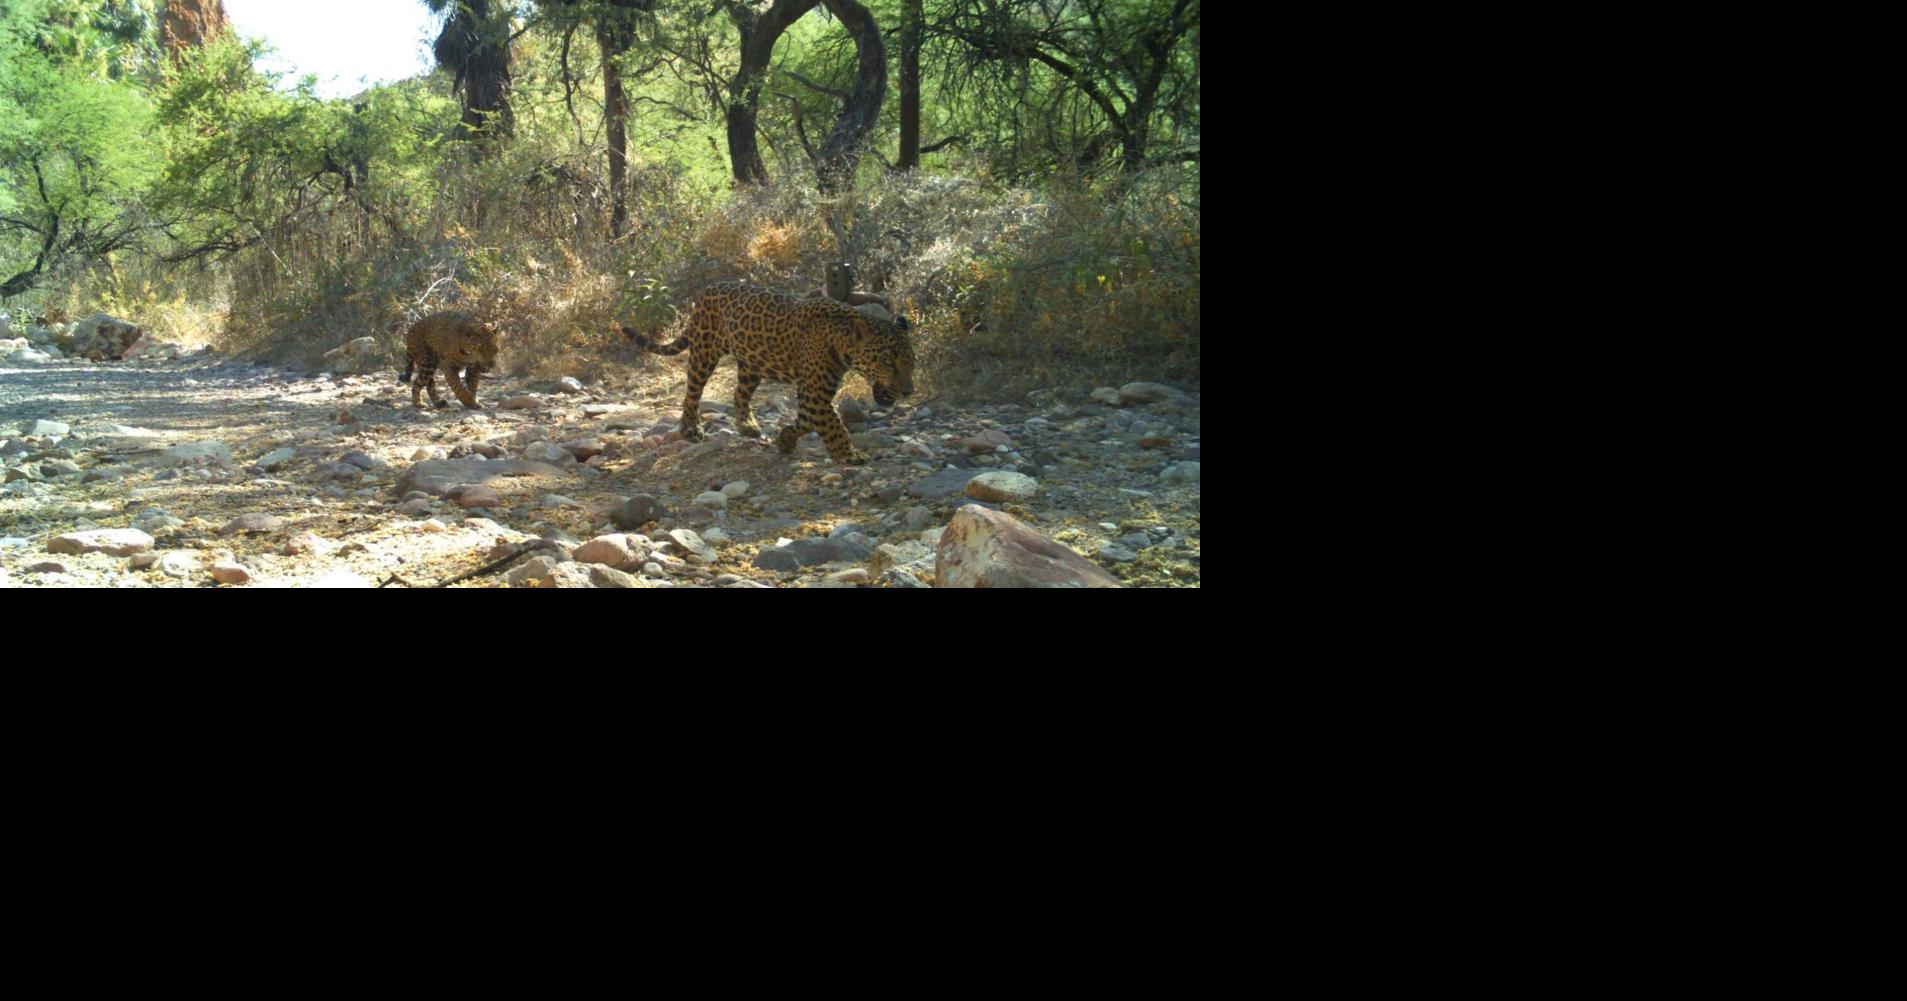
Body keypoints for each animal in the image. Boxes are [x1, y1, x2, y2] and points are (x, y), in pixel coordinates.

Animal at [620, 282, 914, 465]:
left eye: (911, 362)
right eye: (888, 362)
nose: (908, 391)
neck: (840, 340)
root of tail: (709, 289)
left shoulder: (812, 395)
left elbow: (807, 422)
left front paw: (784, 439)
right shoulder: (815, 394)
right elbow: (832, 425)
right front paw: (850, 456)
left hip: (752, 365)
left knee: (739, 394)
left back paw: (747, 425)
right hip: (704, 352)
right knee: (692, 393)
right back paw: (691, 429)